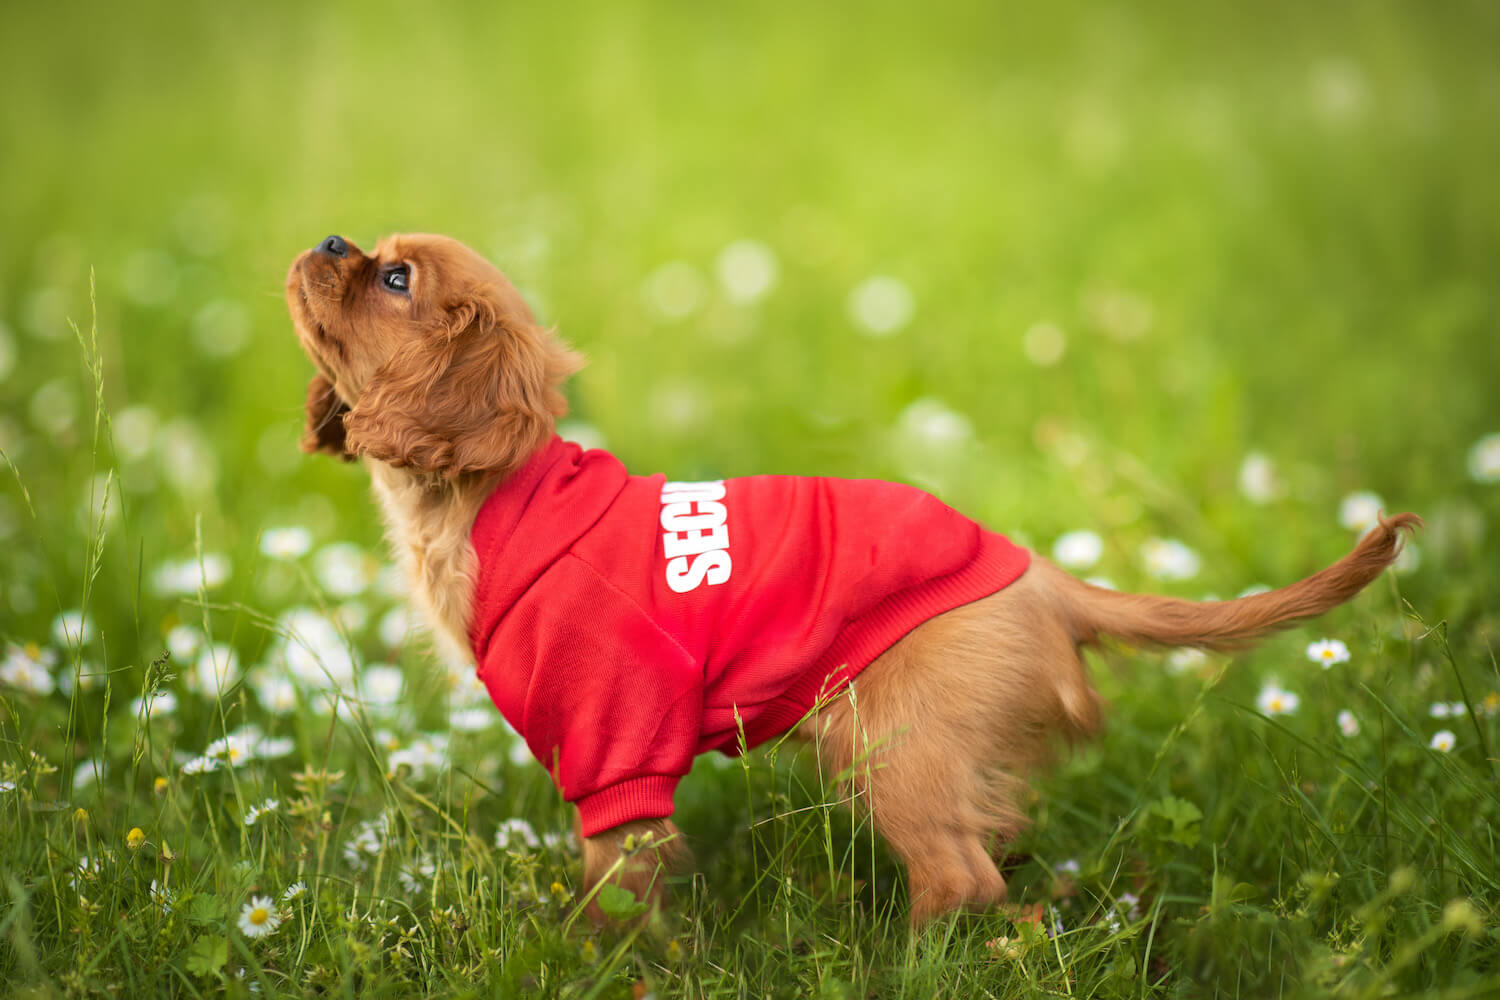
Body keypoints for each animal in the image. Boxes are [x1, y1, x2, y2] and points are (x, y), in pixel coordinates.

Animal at [283, 230, 1416, 929]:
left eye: (396, 279)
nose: (332, 242)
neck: (486, 505)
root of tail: (1045, 578)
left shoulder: (616, 759)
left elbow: (618, 892)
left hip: (894, 748)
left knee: (957, 875)